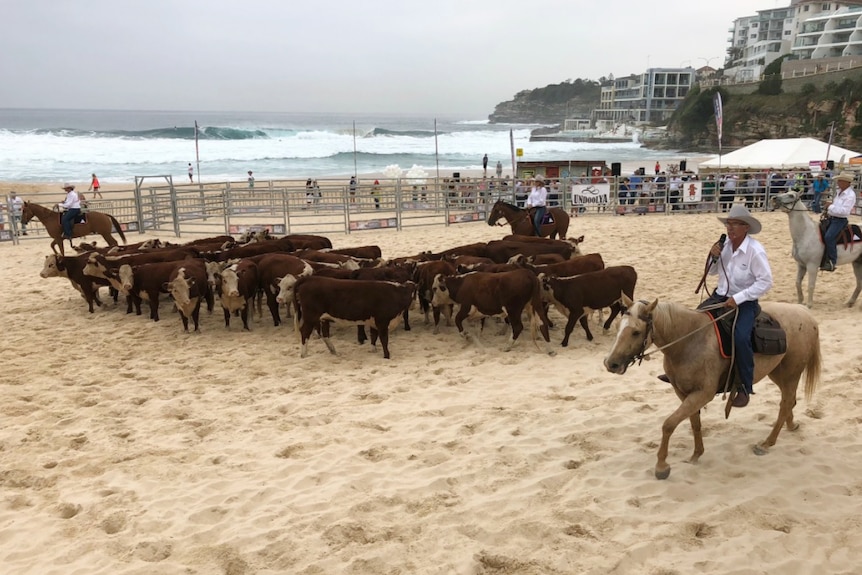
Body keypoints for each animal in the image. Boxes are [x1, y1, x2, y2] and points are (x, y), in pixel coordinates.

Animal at [604, 294, 820, 480]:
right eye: (617, 326)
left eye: (636, 332)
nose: (610, 363)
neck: (688, 341)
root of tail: (806, 314)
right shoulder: (683, 392)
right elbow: (694, 423)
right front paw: (696, 454)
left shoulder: (703, 393)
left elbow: (669, 424)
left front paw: (662, 467)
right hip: (777, 372)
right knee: (789, 400)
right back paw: (791, 425)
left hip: (791, 373)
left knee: (786, 403)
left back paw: (767, 443)